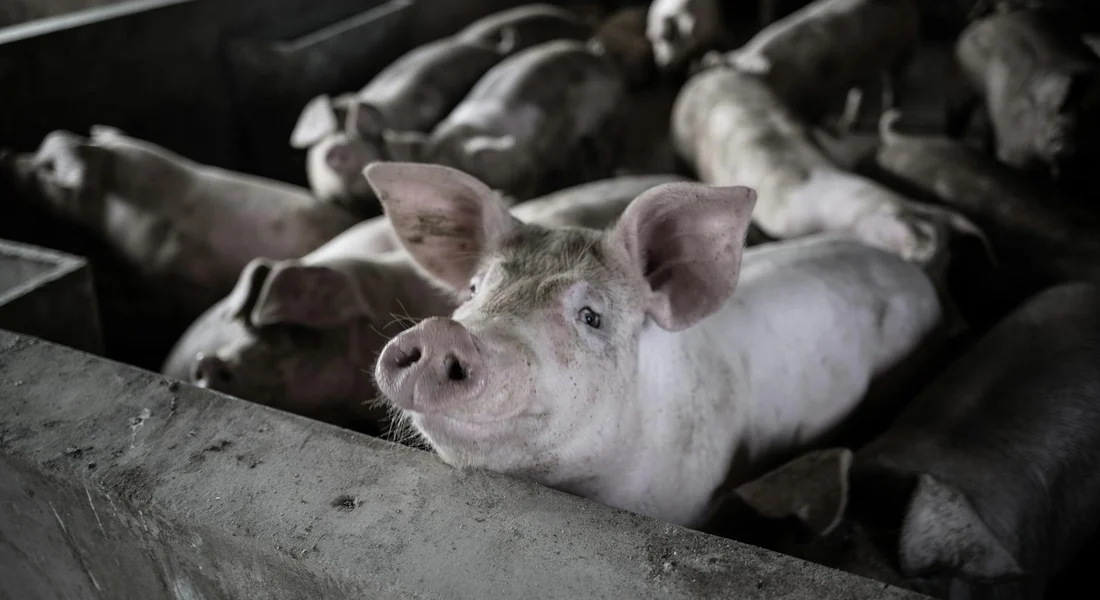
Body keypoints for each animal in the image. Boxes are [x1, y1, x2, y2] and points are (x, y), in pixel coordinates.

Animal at [719, 0, 919, 133]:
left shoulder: (821, 90)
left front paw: (824, 127)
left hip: (905, 46)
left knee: (894, 80)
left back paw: (890, 114)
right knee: (859, 88)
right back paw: (848, 124)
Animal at [948, 10, 1100, 183]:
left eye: (1090, 114)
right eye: (1054, 109)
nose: (1062, 144)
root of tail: (987, 20)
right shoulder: (1016, 150)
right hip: (961, 79)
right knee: (957, 114)